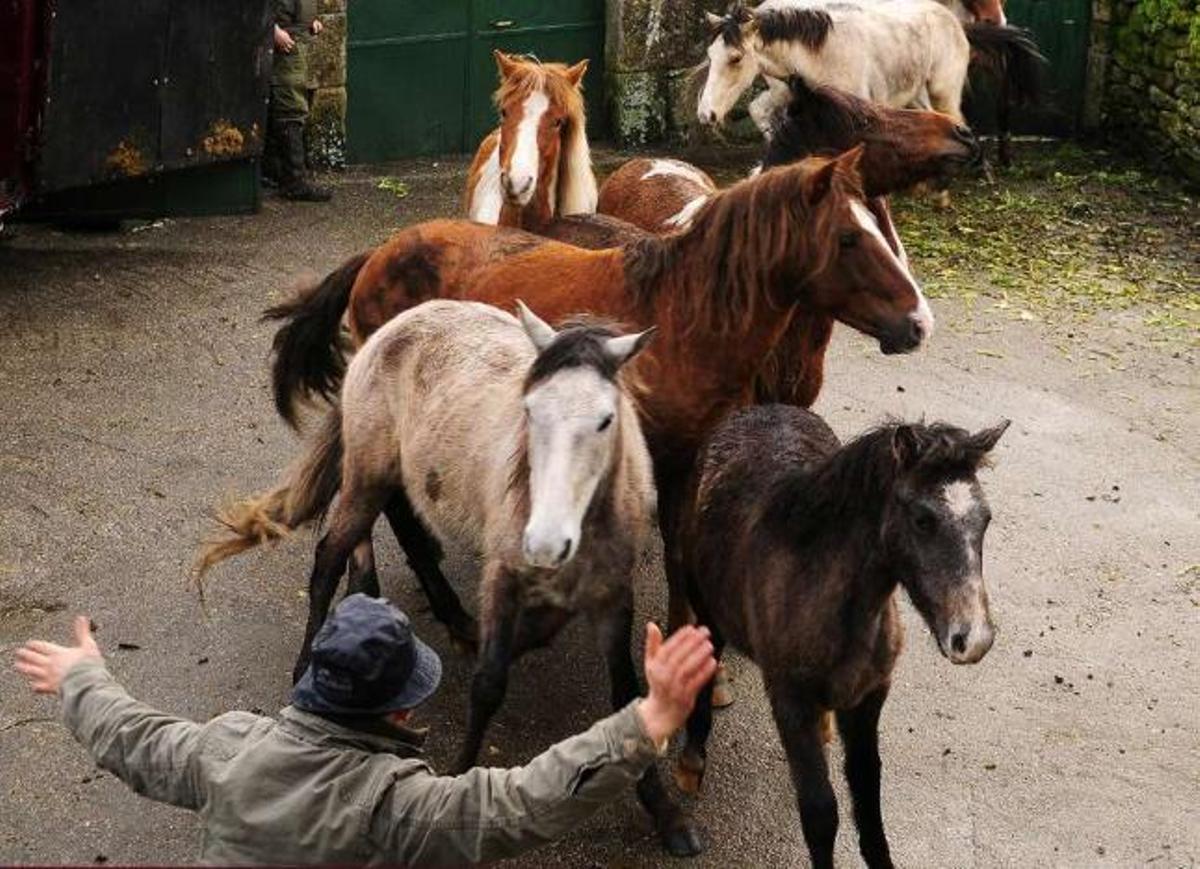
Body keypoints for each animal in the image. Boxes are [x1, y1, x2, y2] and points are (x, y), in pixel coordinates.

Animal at [197, 299, 708, 855]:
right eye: (530, 411)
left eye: (605, 420)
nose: (544, 543)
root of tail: (391, 328)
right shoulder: (502, 580)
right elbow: (488, 685)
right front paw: (461, 776)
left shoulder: (612, 598)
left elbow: (624, 694)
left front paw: (667, 814)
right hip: (367, 476)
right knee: (330, 556)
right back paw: (309, 664)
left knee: (402, 524)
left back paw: (429, 612)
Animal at [675, 405, 1009, 868]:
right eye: (923, 519)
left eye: (985, 520)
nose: (972, 638)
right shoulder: (790, 702)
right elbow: (820, 811)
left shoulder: (870, 697)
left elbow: (867, 796)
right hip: (705, 607)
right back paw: (691, 760)